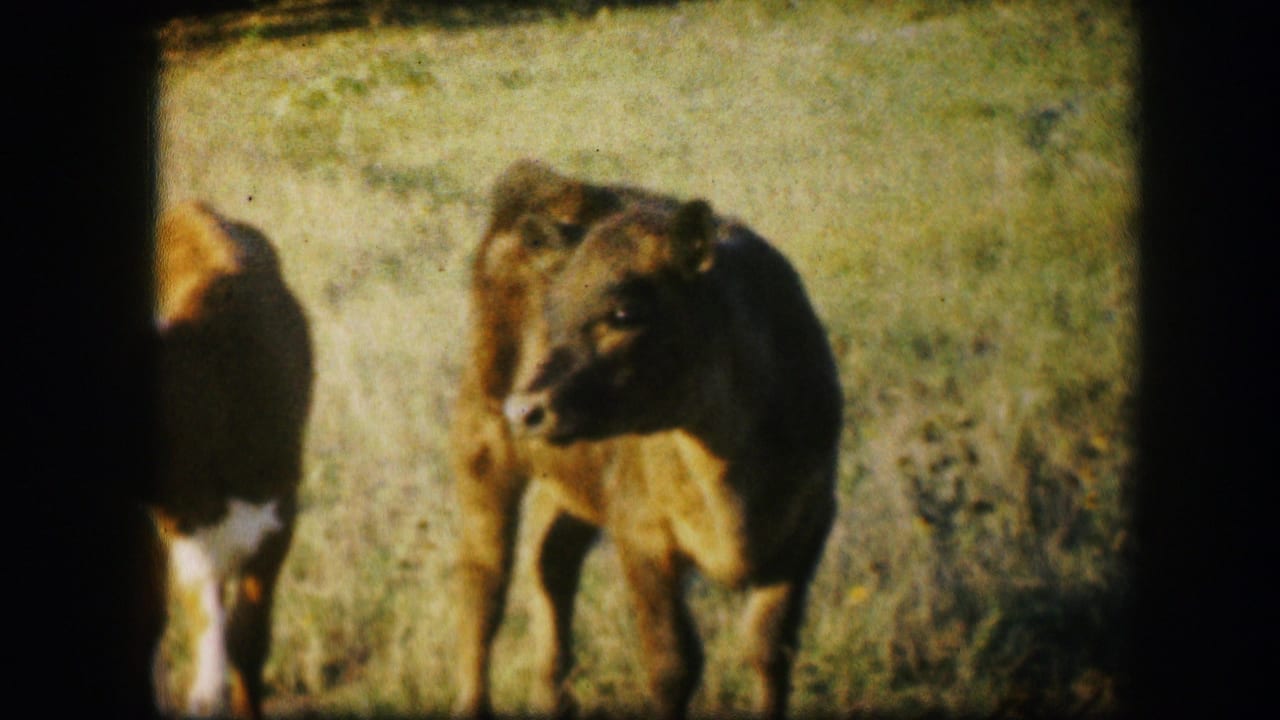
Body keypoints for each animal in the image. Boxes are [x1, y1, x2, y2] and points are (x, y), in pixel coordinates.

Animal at [450, 161, 842, 719]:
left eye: (623, 313)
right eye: (554, 311)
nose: (525, 410)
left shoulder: (809, 524)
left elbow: (769, 649)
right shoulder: (642, 534)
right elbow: (672, 665)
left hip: (569, 479)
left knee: (551, 562)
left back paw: (553, 696)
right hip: (481, 447)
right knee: (483, 584)